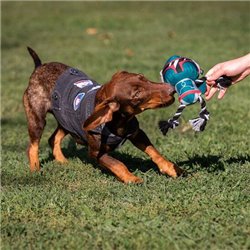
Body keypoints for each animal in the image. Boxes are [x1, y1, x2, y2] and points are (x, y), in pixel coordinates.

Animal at [23, 47, 183, 184]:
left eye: (143, 77)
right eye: (137, 95)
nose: (172, 89)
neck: (120, 121)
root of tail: (38, 67)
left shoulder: (137, 133)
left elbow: (154, 152)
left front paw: (171, 168)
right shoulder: (96, 152)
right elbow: (118, 164)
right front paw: (131, 178)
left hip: (66, 120)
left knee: (53, 138)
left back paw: (62, 161)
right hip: (37, 117)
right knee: (33, 146)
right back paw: (35, 169)